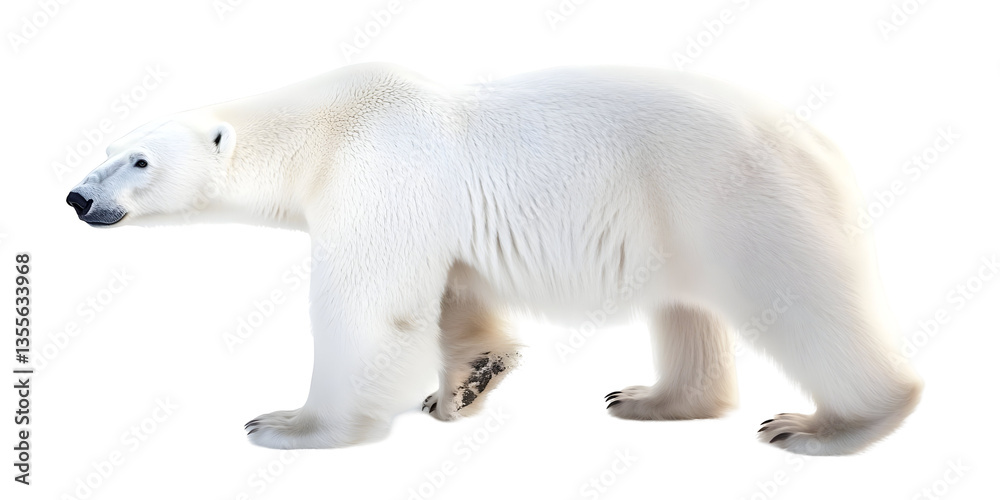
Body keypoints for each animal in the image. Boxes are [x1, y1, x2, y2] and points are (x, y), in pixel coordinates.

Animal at [66, 63, 922, 455]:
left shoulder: (377, 178)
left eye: (139, 161)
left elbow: (370, 310)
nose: (76, 197)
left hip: (728, 194)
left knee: (799, 297)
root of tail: (822, 143)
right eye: (107, 146)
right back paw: (650, 399)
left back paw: (832, 423)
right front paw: (468, 383)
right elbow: (454, 293)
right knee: (684, 308)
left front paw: (291, 424)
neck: (326, 128)